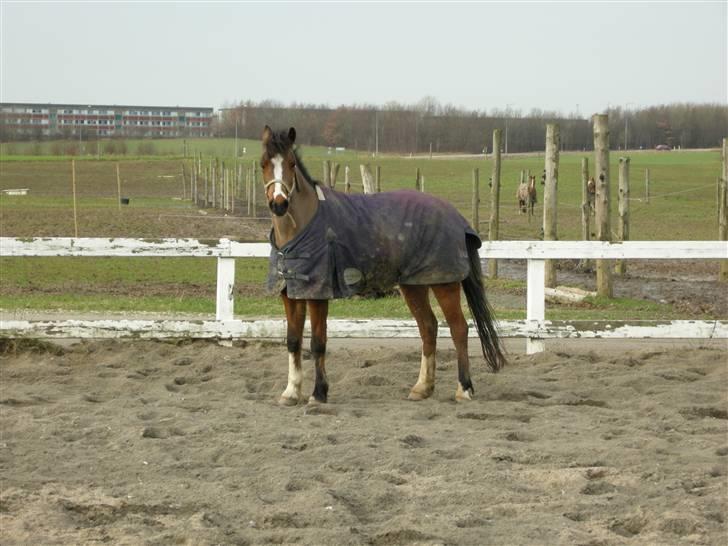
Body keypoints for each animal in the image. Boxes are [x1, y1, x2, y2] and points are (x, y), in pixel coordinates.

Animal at [261, 126, 506, 406]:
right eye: (263, 163)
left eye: (291, 163)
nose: (279, 204)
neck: (302, 228)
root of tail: (455, 215)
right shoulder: (291, 294)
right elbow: (292, 341)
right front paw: (291, 392)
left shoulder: (317, 295)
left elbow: (317, 342)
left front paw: (319, 393)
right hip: (413, 286)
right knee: (428, 328)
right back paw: (422, 388)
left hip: (445, 283)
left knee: (458, 329)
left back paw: (464, 389)